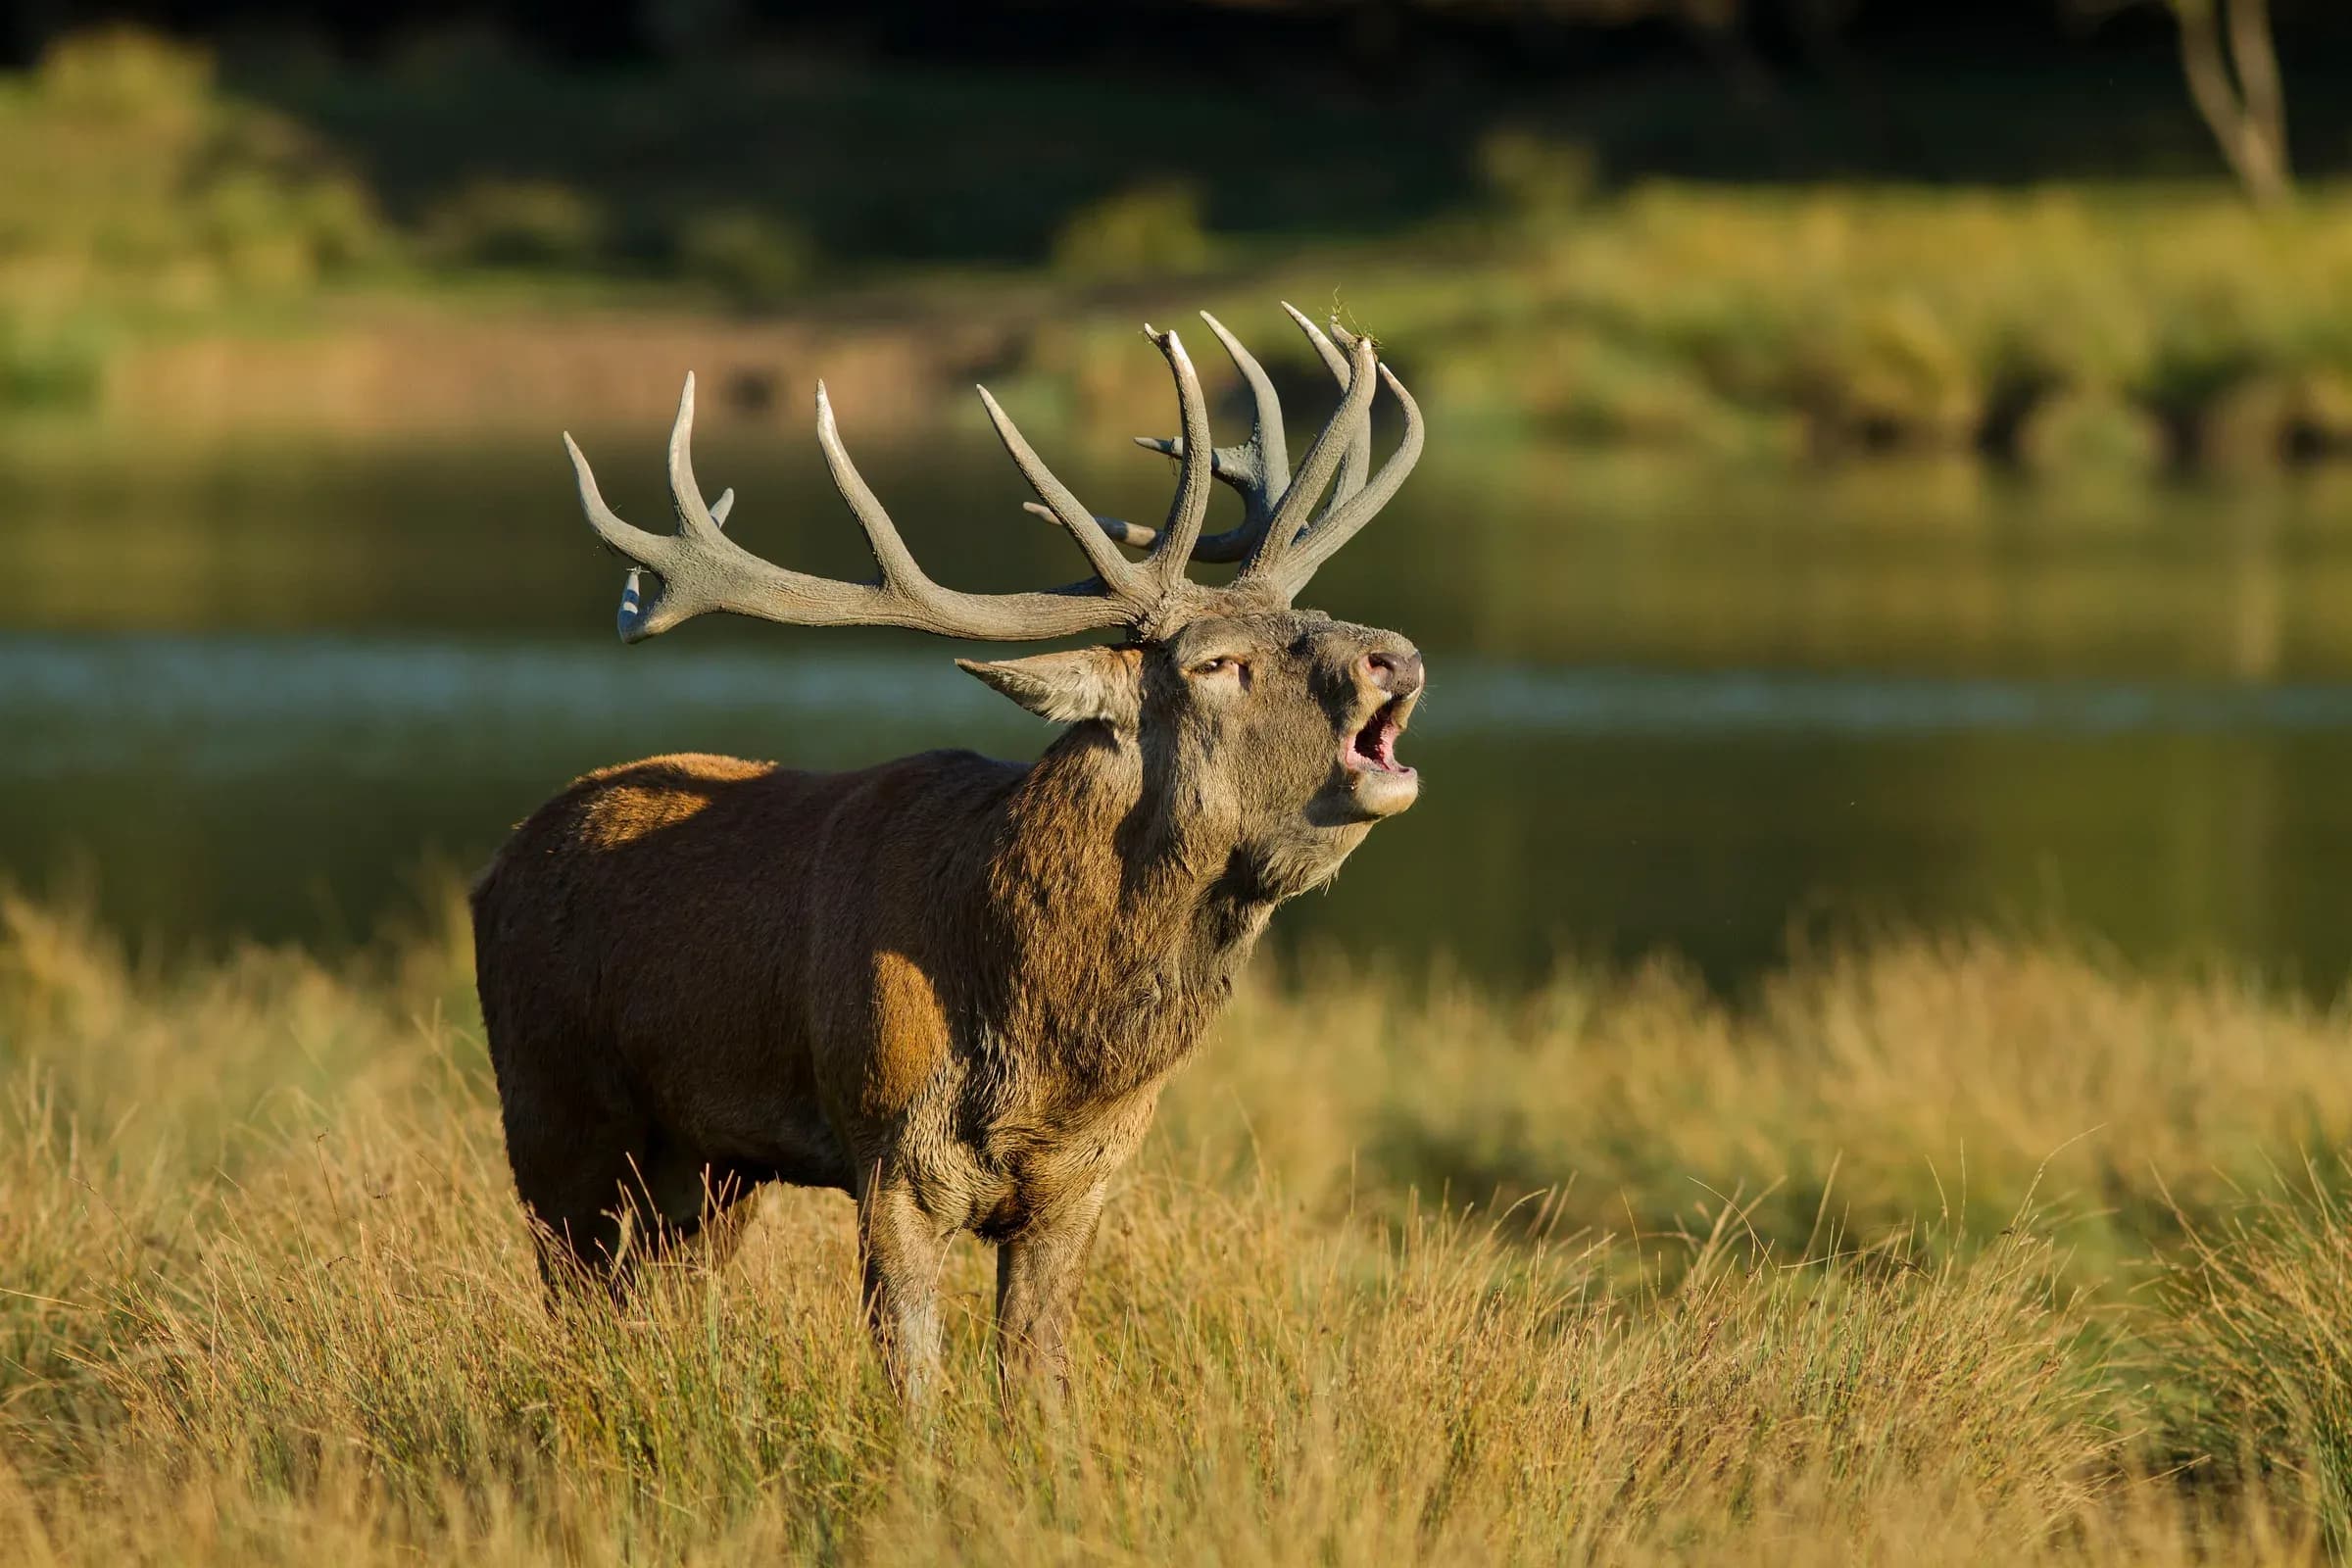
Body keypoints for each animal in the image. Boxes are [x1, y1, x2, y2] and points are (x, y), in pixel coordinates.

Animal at [470, 304, 1425, 1402]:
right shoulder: (890, 1152)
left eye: (1313, 615)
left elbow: (1040, 1382)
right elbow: (916, 1388)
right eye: (1216, 663)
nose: (1394, 654)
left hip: (705, 1165)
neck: (1047, 1046)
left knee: (654, 1295)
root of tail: (498, 863)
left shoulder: (1083, 1182)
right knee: (574, 1294)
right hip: (552, 1105)